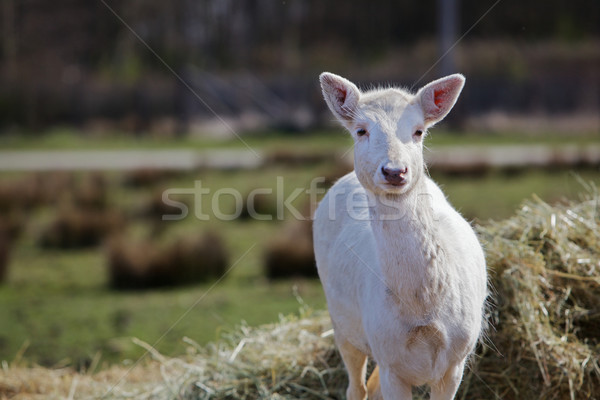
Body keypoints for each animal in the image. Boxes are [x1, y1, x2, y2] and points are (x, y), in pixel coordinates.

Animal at [314, 72, 488, 400]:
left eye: (418, 131)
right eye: (361, 130)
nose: (395, 171)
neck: (422, 312)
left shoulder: (456, 362)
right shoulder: (389, 359)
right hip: (341, 325)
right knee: (356, 387)